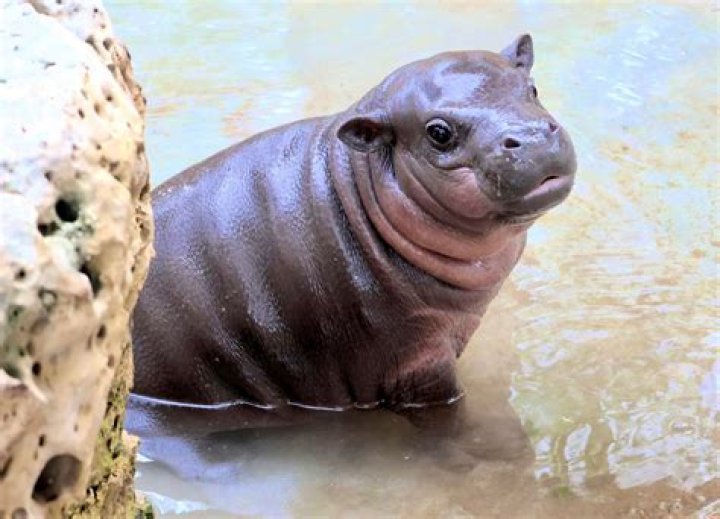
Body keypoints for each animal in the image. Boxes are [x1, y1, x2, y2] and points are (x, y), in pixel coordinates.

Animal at [128, 34, 576, 458]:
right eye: (438, 133)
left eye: (532, 88)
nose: (532, 137)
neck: (359, 193)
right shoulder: (417, 361)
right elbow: (448, 418)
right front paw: (488, 449)